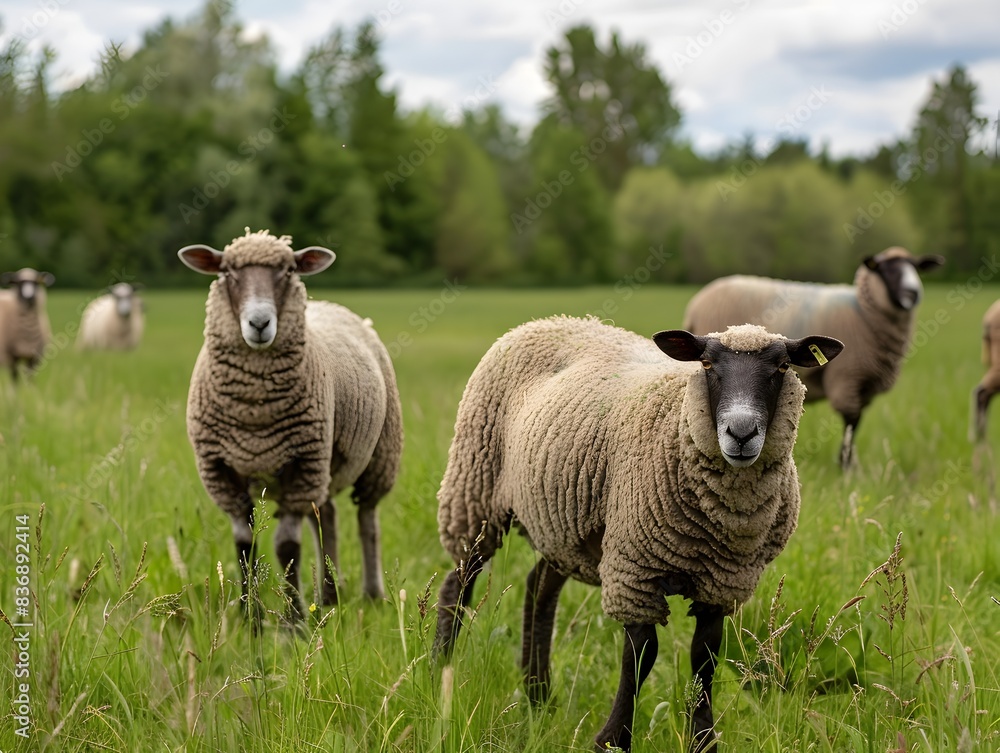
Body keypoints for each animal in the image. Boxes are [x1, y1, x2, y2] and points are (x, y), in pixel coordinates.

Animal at [178, 228, 403, 621]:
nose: (259, 324)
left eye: (287, 271)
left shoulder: (300, 464)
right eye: (228, 272)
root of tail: (326, 303)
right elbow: (244, 547)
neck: (255, 415)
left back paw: (372, 594)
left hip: (376, 456)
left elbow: (287, 548)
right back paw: (328, 595)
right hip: (322, 465)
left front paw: (294, 619)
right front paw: (248, 616)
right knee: (326, 517)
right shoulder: (222, 471)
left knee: (367, 520)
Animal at [432, 315, 843, 753]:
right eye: (707, 364)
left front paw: (702, 740)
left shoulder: (722, 583)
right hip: (475, 491)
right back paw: (441, 670)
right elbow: (641, 654)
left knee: (538, 588)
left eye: (782, 366)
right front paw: (613, 740)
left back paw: (538, 694)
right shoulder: (635, 568)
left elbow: (705, 657)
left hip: (561, 525)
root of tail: (547, 321)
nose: (741, 432)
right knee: (458, 584)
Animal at [683, 246, 943, 468]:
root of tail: (695, 304)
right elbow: (851, 422)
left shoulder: (864, 384)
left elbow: (855, 425)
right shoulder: (847, 377)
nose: (913, 293)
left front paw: (849, 465)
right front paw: (846, 468)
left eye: (916, 268)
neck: (863, 312)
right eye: (887, 270)